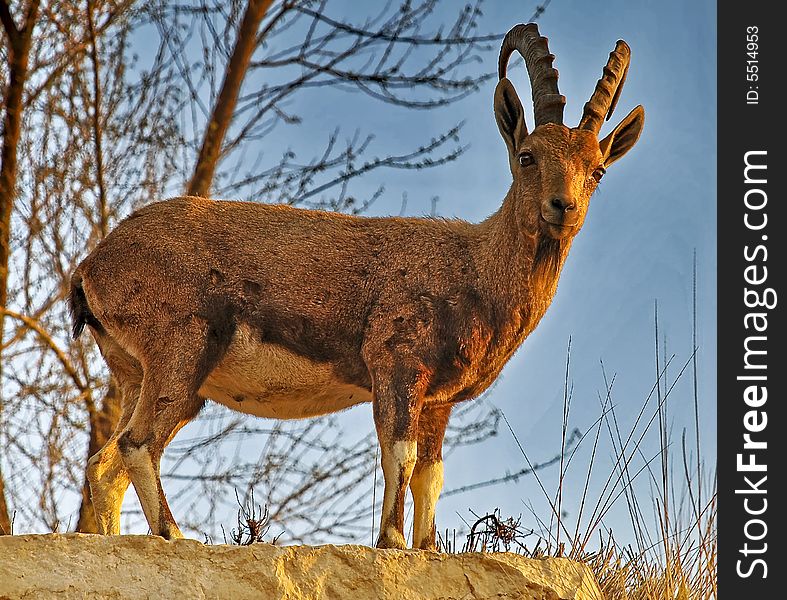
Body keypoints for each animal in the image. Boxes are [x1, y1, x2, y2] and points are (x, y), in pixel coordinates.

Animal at [69, 23, 648, 548]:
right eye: (528, 156)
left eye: (596, 169)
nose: (562, 207)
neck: (474, 270)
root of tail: (92, 265)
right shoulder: (397, 362)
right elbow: (400, 455)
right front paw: (389, 541)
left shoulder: (438, 401)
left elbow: (431, 476)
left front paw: (427, 549)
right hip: (182, 350)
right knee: (139, 445)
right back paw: (174, 534)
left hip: (137, 373)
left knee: (104, 463)